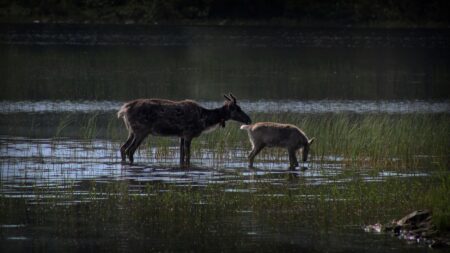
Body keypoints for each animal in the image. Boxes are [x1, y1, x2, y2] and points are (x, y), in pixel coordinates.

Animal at [118, 93, 251, 166]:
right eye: (238, 109)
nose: (249, 119)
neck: (204, 120)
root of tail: (124, 110)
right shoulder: (188, 134)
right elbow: (188, 155)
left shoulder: (181, 135)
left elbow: (182, 155)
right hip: (141, 131)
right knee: (130, 150)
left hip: (132, 131)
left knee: (123, 147)